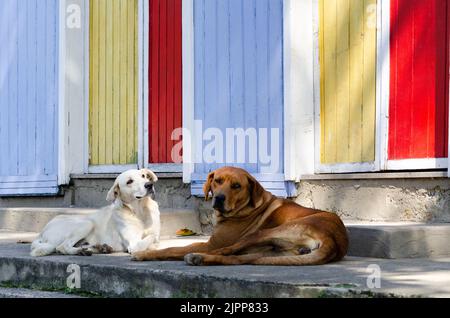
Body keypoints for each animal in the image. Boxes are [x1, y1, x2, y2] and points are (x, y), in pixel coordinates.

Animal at [30, 169, 160, 256]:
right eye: (129, 181)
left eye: (143, 176)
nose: (149, 185)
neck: (140, 211)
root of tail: (42, 231)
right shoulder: (134, 244)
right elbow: (152, 237)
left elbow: (154, 237)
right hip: (86, 223)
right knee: (61, 247)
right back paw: (81, 251)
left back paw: (99, 248)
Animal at [132, 166, 350, 266]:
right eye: (218, 181)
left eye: (237, 186)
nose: (219, 198)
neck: (245, 208)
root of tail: (334, 239)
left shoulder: (212, 243)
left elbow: (172, 248)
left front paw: (146, 253)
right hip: (272, 253)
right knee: (236, 259)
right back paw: (201, 259)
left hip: (261, 234)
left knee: (225, 251)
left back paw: (195, 256)